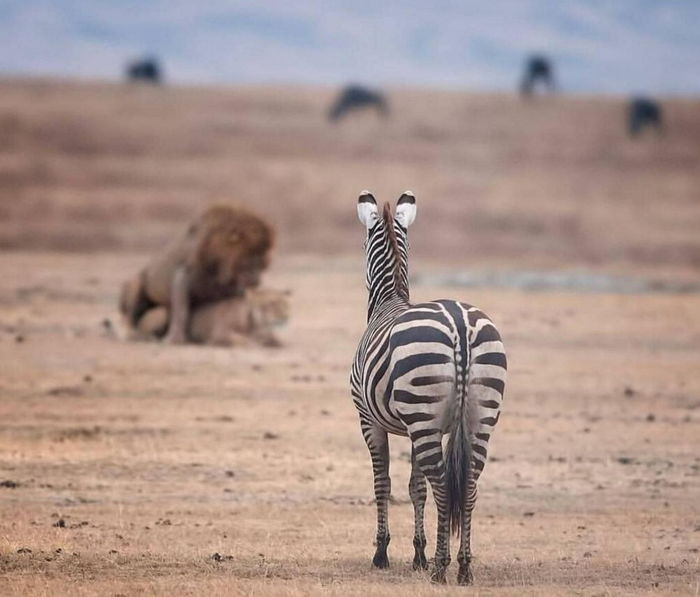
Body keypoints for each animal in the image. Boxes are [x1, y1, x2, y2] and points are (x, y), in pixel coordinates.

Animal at [120, 205, 274, 344]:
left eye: (263, 263)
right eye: (250, 260)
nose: (256, 281)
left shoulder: (232, 291)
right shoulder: (183, 274)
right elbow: (181, 310)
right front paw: (175, 340)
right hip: (135, 286)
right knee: (131, 318)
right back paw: (136, 336)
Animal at [352, 190, 506, 584]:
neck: (389, 301)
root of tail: (460, 325)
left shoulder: (370, 421)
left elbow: (384, 484)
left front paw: (382, 553)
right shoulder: (420, 427)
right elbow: (415, 487)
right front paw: (418, 553)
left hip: (422, 414)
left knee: (443, 485)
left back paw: (441, 567)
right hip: (479, 418)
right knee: (467, 484)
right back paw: (462, 566)